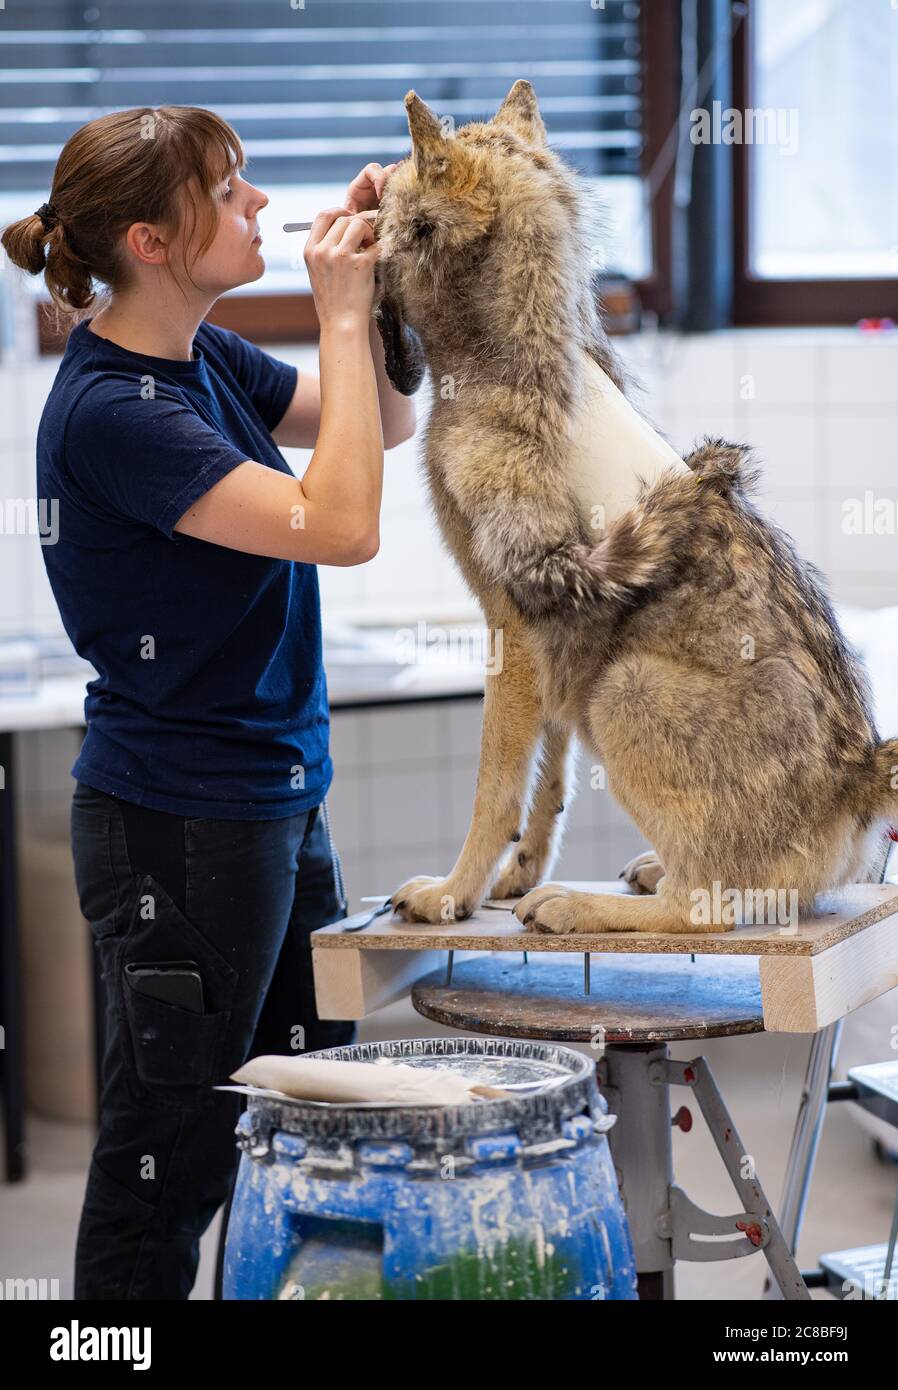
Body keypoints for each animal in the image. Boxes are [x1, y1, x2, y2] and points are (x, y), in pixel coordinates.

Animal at [372, 84, 895, 934]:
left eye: (384, 194)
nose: (360, 205)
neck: (502, 356)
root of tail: (862, 776)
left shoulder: (513, 631)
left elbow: (493, 794)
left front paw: (454, 895)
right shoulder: (550, 657)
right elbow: (547, 793)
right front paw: (513, 876)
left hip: (623, 690)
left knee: (704, 909)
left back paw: (578, 906)